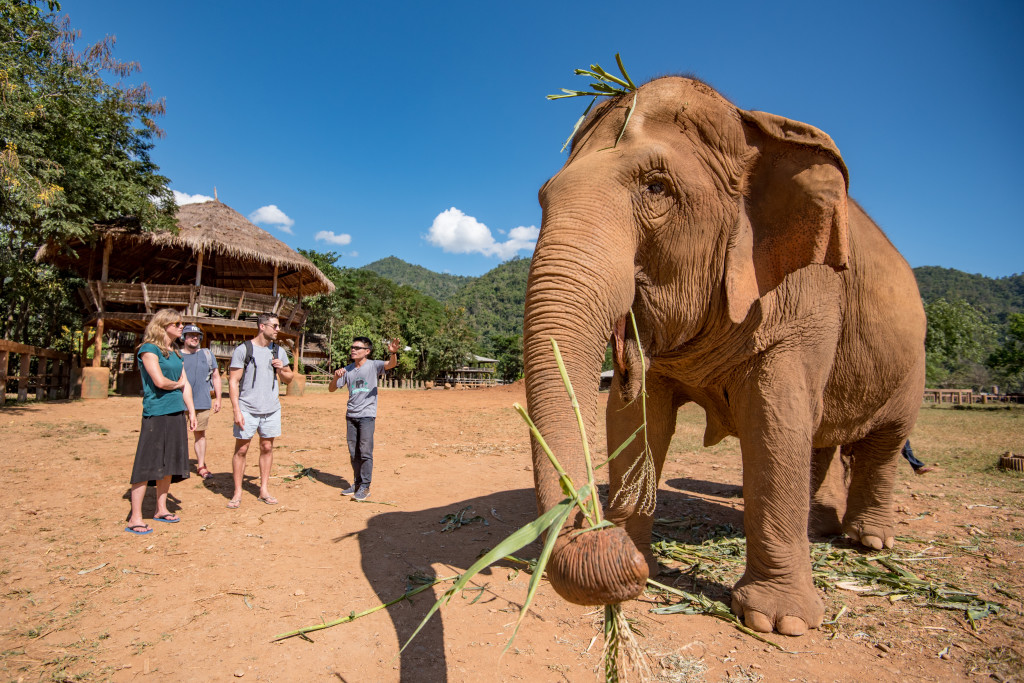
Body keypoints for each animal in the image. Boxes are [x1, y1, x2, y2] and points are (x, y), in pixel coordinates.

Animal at [524, 77, 925, 638]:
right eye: (543, 197)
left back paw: (868, 541)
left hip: (913, 366)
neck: (750, 124)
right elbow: (635, 417)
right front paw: (641, 560)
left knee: (882, 443)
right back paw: (820, 527)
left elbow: (776, 418)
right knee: (821, 437)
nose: (600, 533)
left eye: (657, 188)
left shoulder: (807, 297)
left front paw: (779, 623)